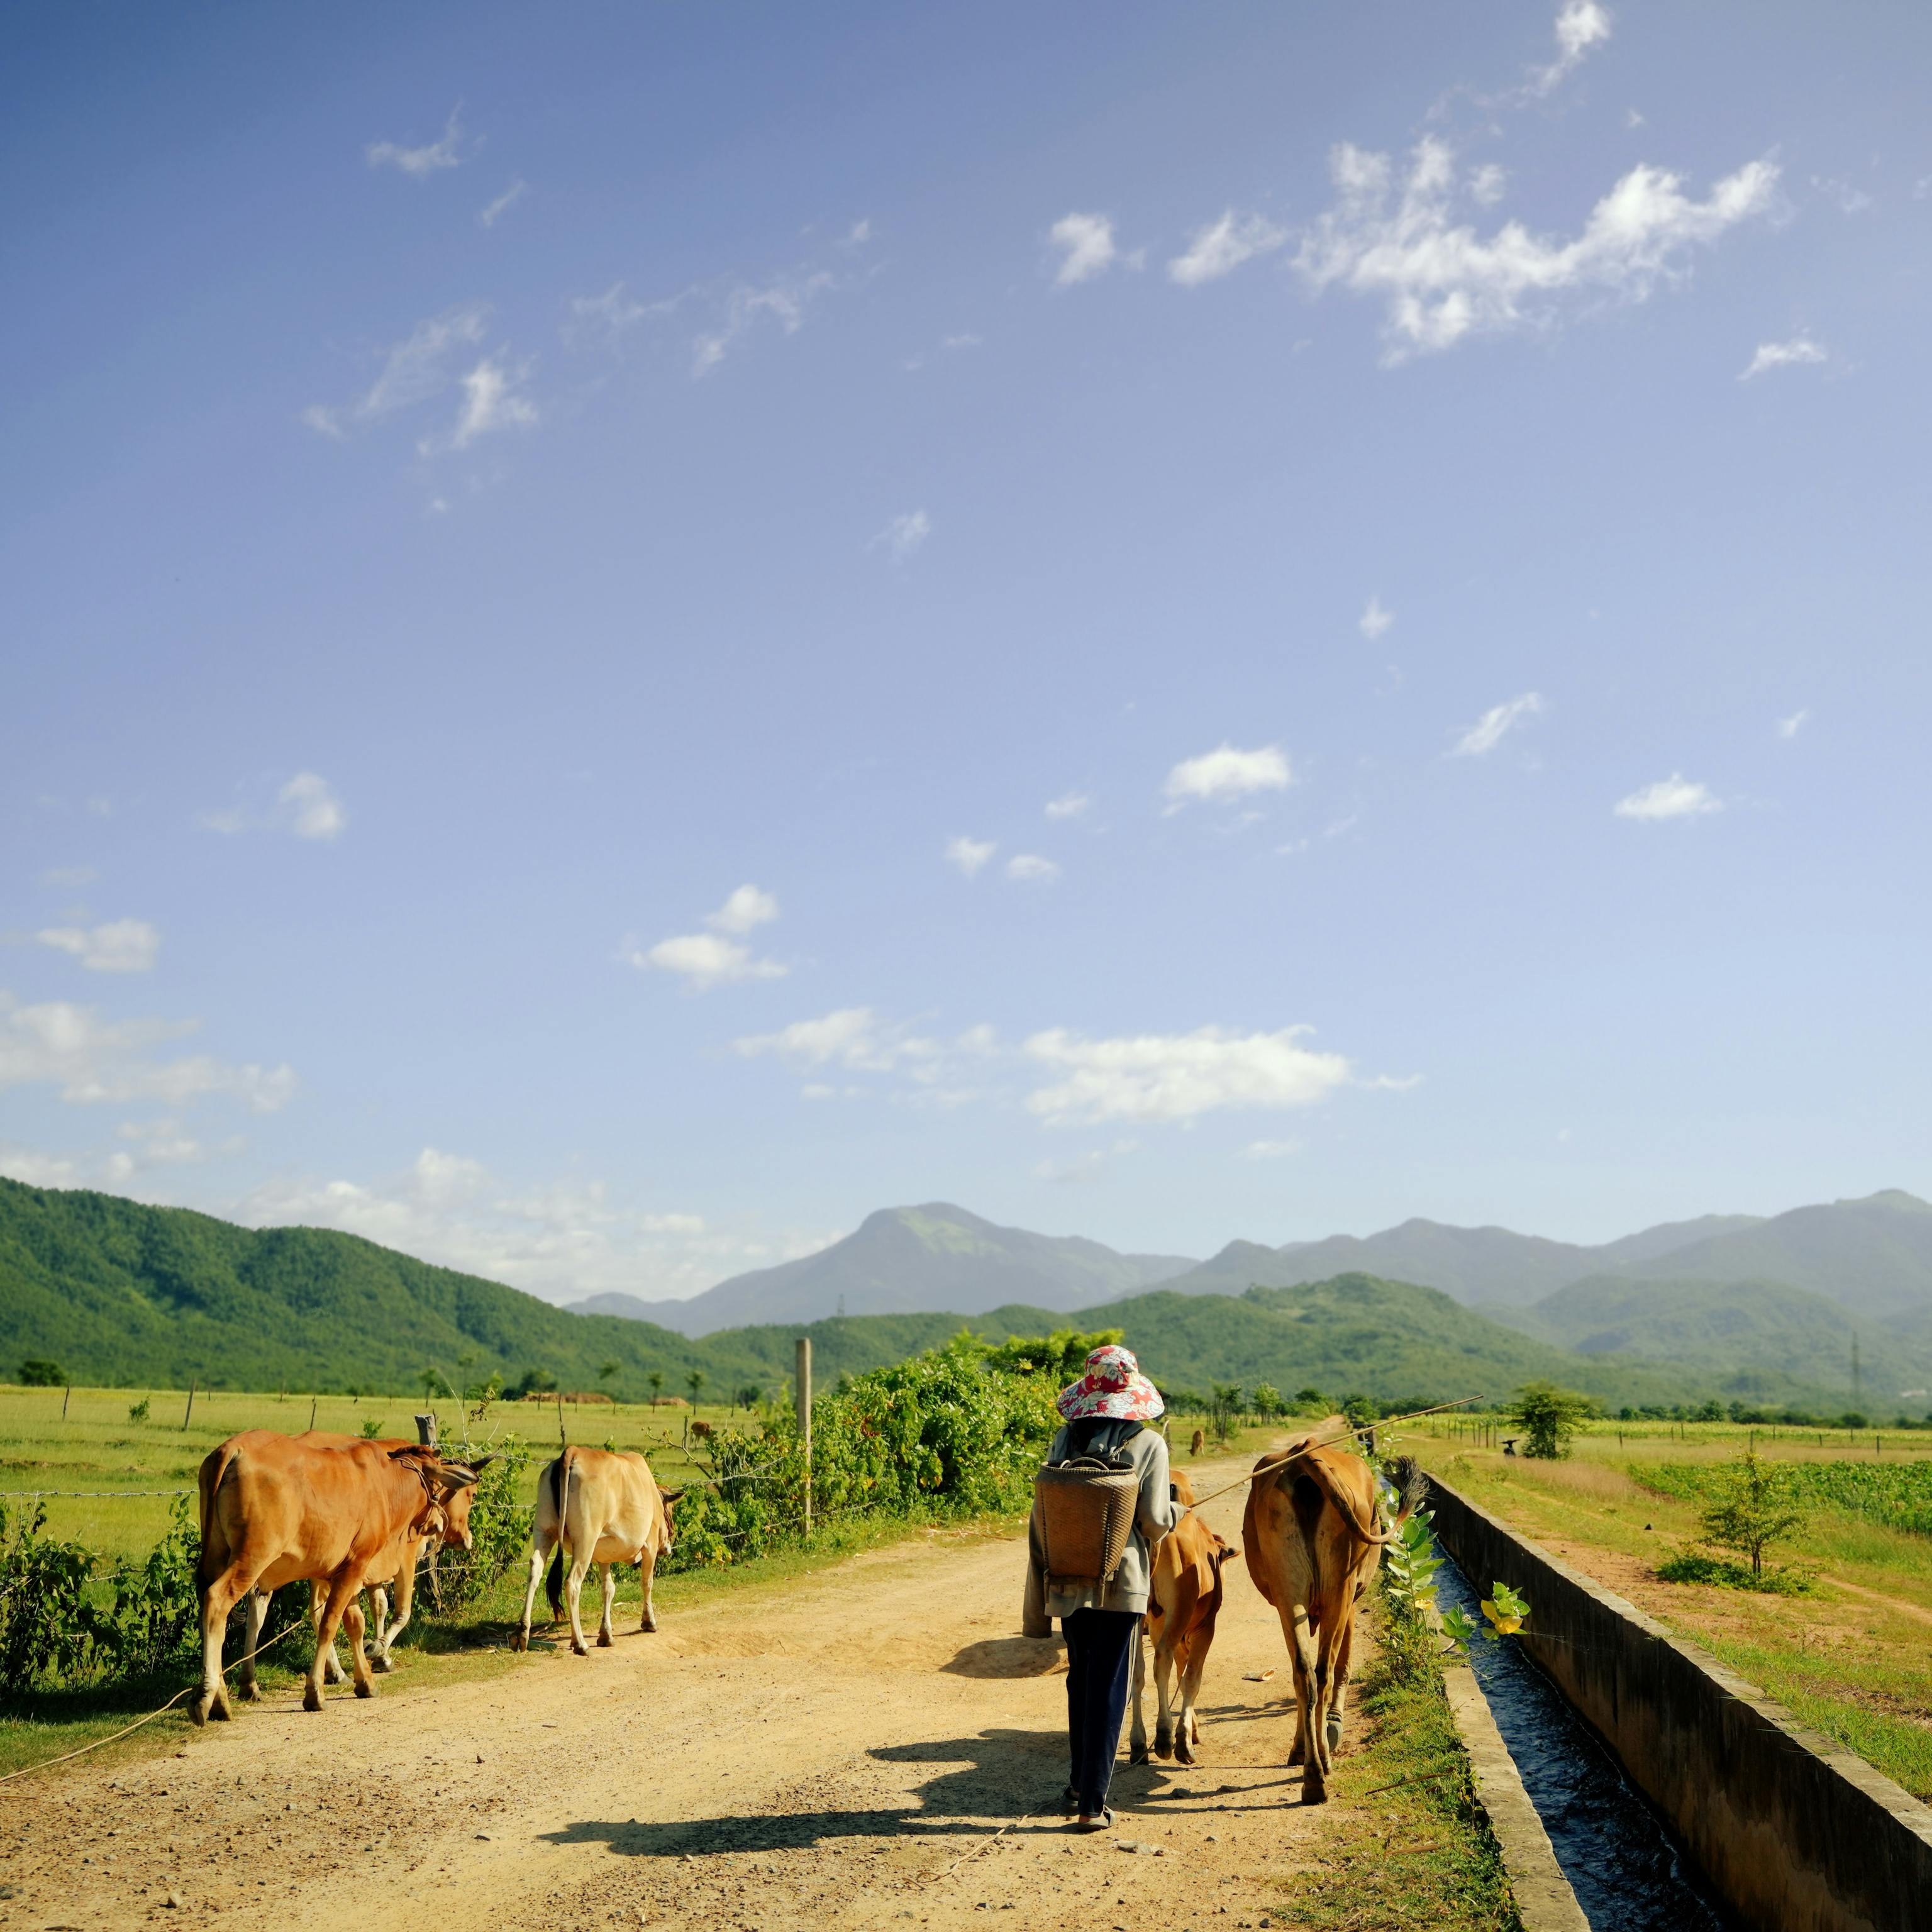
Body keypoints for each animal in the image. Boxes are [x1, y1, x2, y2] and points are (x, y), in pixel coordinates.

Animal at [192, 1431, 484, 1723]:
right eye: (467, 1495)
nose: (440, 1526)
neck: (386, 1485)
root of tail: (233, 1448)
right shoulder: (371, 1564)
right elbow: (336, 1622)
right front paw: (316, 1692)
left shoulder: (345, 1572)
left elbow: (356, 1623)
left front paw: (365, 1680)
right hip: (252, 1559)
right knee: (217, 1602)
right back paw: (210, 1698)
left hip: (220, 1556)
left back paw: (229, 1693)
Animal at [513, 1445, 680, 1656]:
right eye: (670, 1513)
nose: (667, 1547)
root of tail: (573, 1451)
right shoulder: (649, 1546)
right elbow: (647, 1582)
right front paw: (649, 1622)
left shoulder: (603, 1556)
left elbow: (608, 1589)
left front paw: (606, 1635)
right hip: (586, 1539)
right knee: (572, 1583)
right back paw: (580, 1643)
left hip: (544, 1531)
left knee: (535, 1570)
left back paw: (523, 1634)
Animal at [1129, 1467, 1236, 1767]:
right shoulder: (1204, 1628)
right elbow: (1191, 1679)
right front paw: (1186, 1737)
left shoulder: (1159, 1626)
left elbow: (1179, 1674)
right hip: (1178, 1614)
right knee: (1162, 1661)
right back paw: (1165, 1738)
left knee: (1138, 1671)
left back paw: (1139, 1742)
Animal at [1241, 1420, 1425, 1802]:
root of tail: (1306, 1456)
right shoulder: (1351, 1600)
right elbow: (1344, 1665)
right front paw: (1335, 1725)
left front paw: (1300, 1748)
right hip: (1340, 1590)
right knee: (1325, 1672)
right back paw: (1323, 1761)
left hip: (1289, 1590)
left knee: (1305, 1675)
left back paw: (1312, 1773)